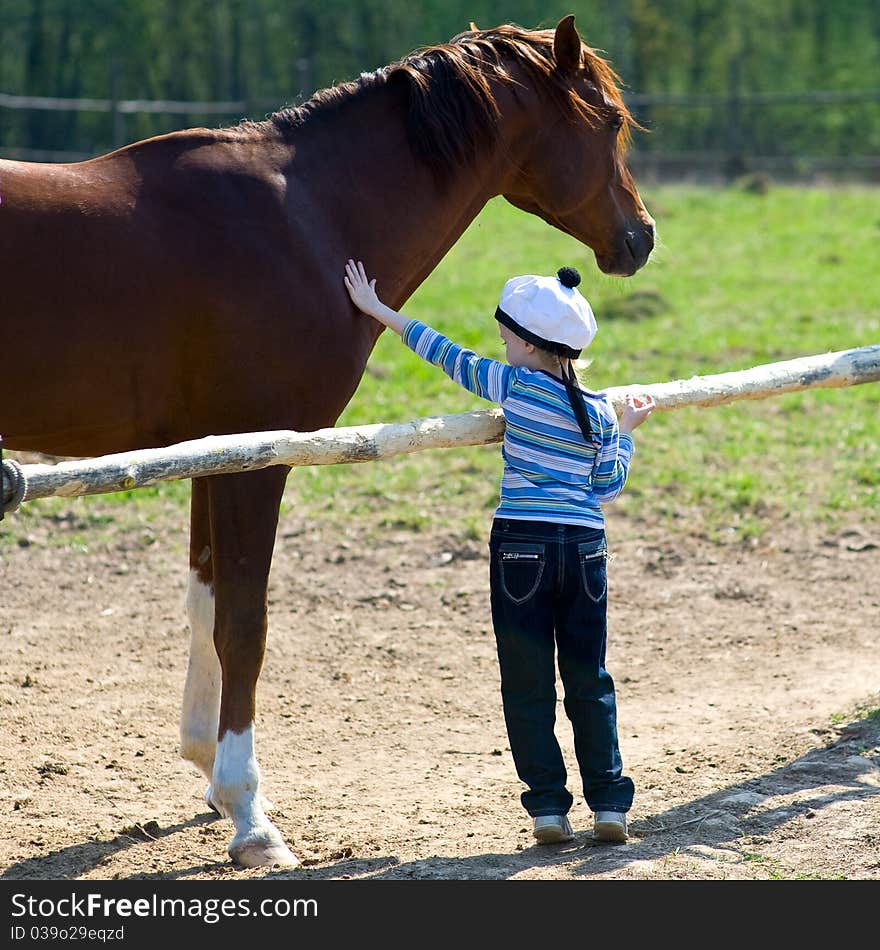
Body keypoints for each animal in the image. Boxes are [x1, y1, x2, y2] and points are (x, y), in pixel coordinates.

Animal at [0, 14, 652, 868]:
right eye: (607, 122)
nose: (642, 237)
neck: (304, 219)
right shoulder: (256, 459)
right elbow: (244, 624)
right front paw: (249, 816)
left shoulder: (214, 453)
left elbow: (205, 604)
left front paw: (210, 771)